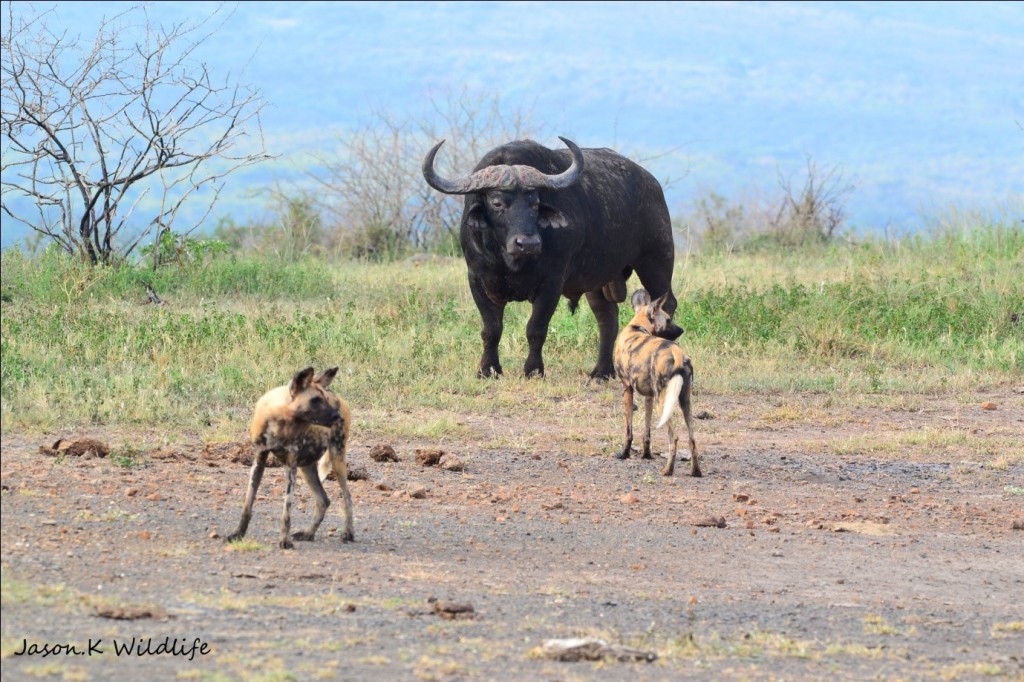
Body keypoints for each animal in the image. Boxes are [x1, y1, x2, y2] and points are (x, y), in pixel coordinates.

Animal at [226, 366, 354, 548]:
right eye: (315, 400)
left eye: (324, 399)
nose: (337, 416)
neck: (280, 420)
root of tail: (339, 398)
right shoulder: (259, 459)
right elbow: (247, 505)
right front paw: (238, 534)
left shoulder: (290, 466)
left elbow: (286, 512)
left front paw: (284, 541)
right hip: (307, 468)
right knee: (323, 500)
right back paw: (308, 533)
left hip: (337, 459)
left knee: (347, 497)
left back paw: (348, 533)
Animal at [423, 134, 679, 376]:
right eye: (496, 203)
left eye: (535, 202)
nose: (528, 243)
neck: (511, 260)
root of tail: (653, 186)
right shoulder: (477, 279)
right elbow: (491, 329)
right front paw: (488, 369)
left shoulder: (552, 283)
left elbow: (536, 328)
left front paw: (534, 370)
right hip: (597, 279)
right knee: (607, 317)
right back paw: (601, 372)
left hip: (656, 260)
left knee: (666, 304)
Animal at [610, 288, 700, 475]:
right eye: (668, 320)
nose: (682, 330)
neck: (637, 327)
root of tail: (677, 354)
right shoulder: (649, 397)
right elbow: (647, 432)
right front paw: (646, 455)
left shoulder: (627, 389)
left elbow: (628, 431)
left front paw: (624, 454)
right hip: (684, 401)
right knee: (692, 438)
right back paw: (696, 472)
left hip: (663, 402)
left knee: (674, 437)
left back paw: (667, 471)